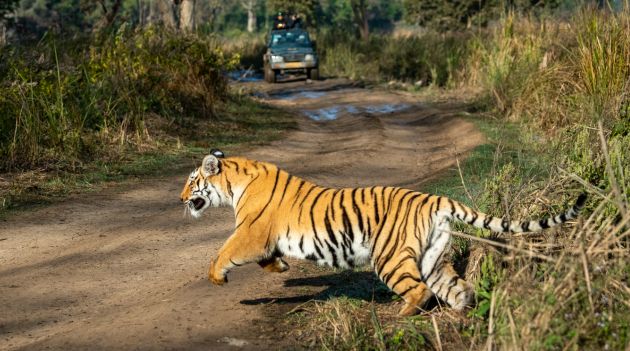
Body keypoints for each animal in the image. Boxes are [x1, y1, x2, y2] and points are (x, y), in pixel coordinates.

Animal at [180, 148, 592, 316]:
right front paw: (280, 268)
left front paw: (216, 277)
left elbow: (224, 251)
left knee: (420, 290)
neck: (234, 183)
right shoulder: (263, 239)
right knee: (456, 288)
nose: (181, 198)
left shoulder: (251, 232)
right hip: (432, 257)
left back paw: (400, 314)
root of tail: (434, 198)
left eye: (192, 181)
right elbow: (266, 259)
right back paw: (462, 313)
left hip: (390, 257)